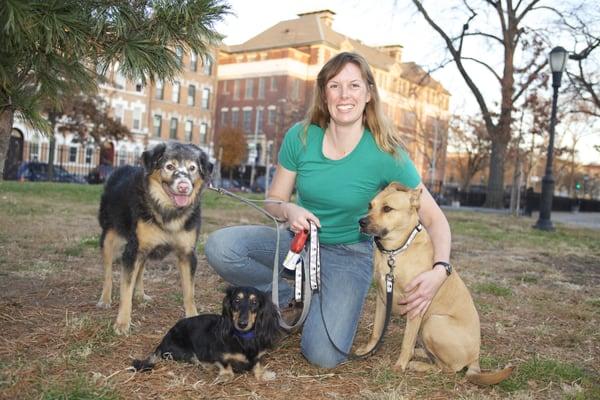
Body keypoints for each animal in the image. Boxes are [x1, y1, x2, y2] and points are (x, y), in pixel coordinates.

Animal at [97, 141, 210, 334]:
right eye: (169, 166)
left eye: (193, 168)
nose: (184, 187)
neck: (169, 211)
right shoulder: (133, 250)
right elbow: (125, 289)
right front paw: (122, 322)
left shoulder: (187, 254)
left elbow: (189, 292)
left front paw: (192, 316)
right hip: (110, 238)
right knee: (108, 273)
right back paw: (105, 298)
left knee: (140, 271)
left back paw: (140, 294)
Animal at [132, 286, 282, 380]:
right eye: (236, 300)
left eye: (254, 302)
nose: (242, 324)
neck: (243, 339)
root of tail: (163, 340)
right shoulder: (217, 354)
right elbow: (226, 364)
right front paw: (225, 375)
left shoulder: (258, 355)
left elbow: (257, 364)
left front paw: (263, 374)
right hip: (185, 352)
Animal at [358, 184, 512, 384]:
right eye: (370, 206)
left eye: (387, 209)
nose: (361, 222)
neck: (396, 251)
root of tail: (475, 358)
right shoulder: (382, 298)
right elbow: (376, 331)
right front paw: (369, 350)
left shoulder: (416, 306)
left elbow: (406, 342)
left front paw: (400, 366)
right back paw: (421, 353)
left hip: (433, 322)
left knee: (448, 369)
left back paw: (418, 364)